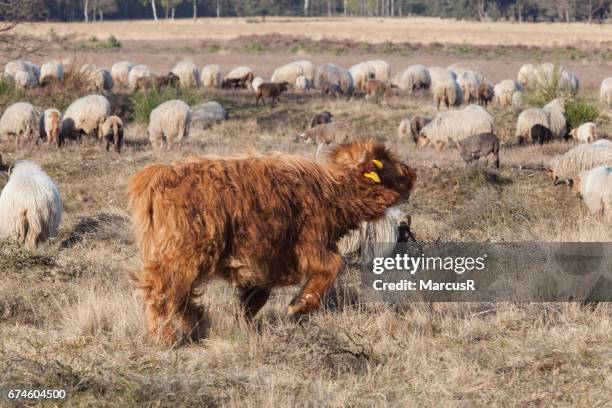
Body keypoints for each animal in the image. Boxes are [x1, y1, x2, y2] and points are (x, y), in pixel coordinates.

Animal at [128, 140, 416, 344]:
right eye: (390, 162)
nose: (412, 171)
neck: (332, 192)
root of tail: (156, 176)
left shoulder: (264, 262)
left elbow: (254, 299)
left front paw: (245, 326)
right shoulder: (310, 244)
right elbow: (332, 267)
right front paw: (298, 306)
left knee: (179, 293)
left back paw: (199, 322)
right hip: (184, 251)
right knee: (160, 289)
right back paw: (166, 337)